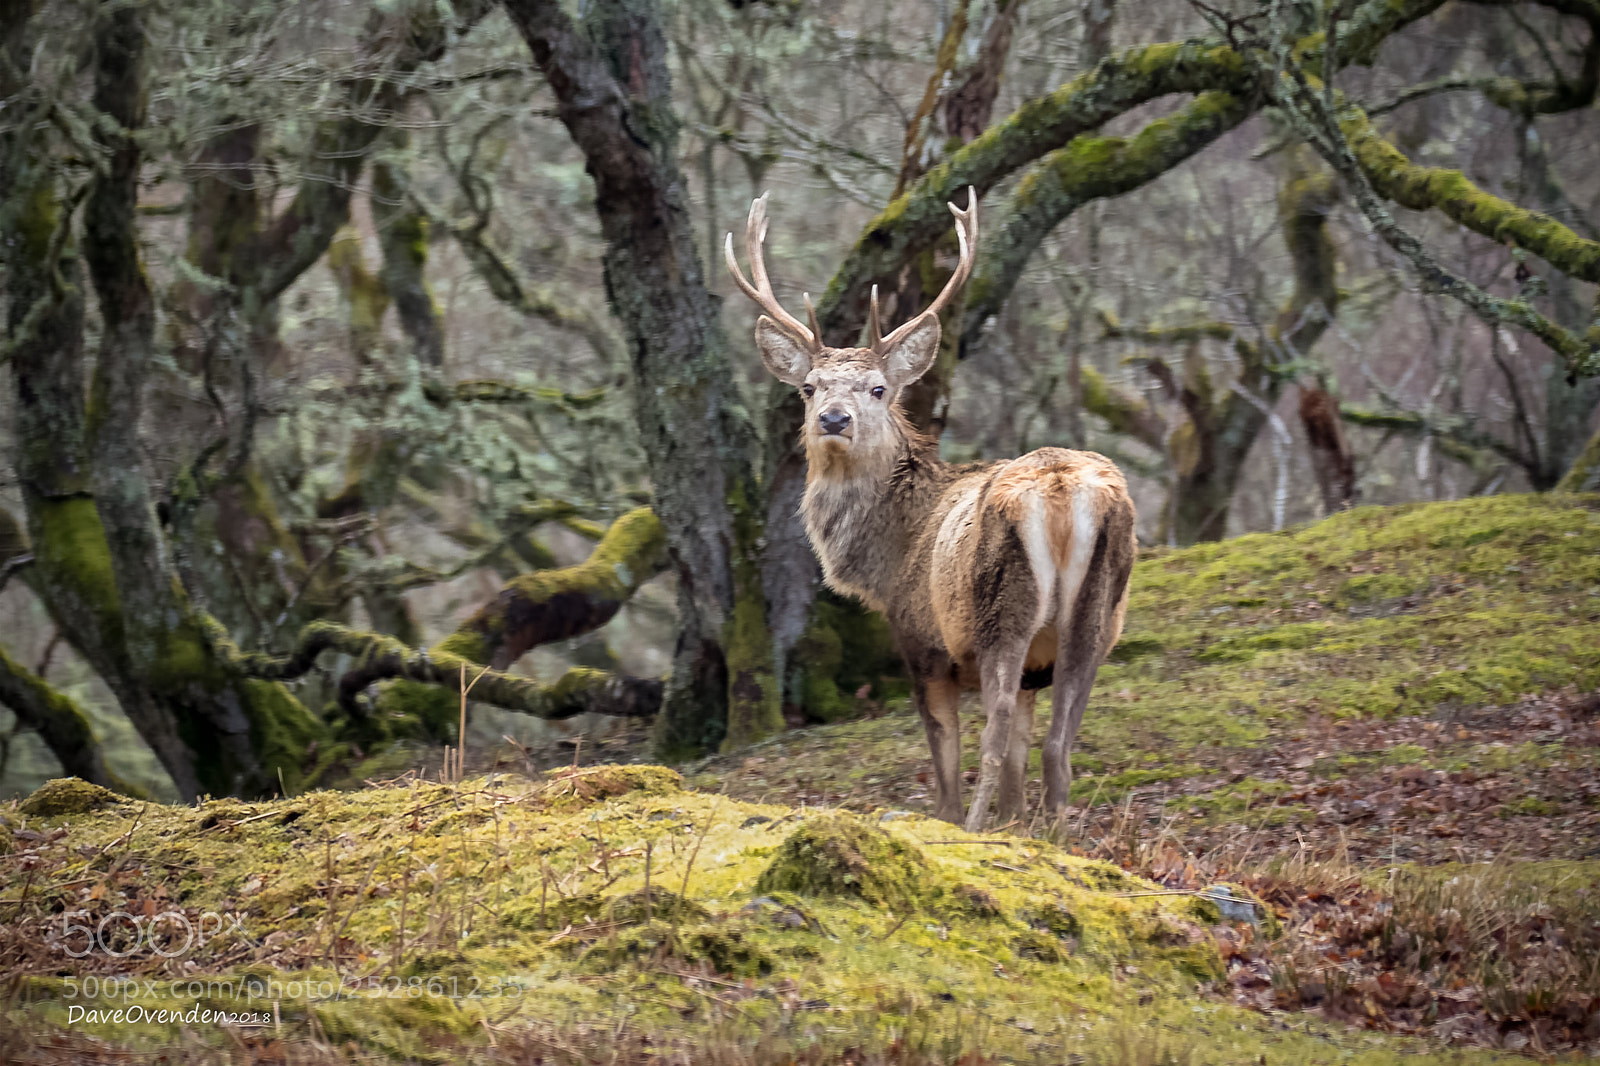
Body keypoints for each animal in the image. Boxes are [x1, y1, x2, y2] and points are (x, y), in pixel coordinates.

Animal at [725, 189, 1137, 833]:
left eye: (877, 388)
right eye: (810, 386)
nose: (834, 420)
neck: (890, 554)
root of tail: (1063, 489)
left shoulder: (922, 641)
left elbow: (945, 750)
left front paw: (957, 820)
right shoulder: (1035, 669)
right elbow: (1023, 747)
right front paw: (1015, 823)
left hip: (1001, 609)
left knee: (992, 731)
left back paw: (972, 826)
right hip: (1097, 613)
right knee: (1059, 742)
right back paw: (1053, 832)